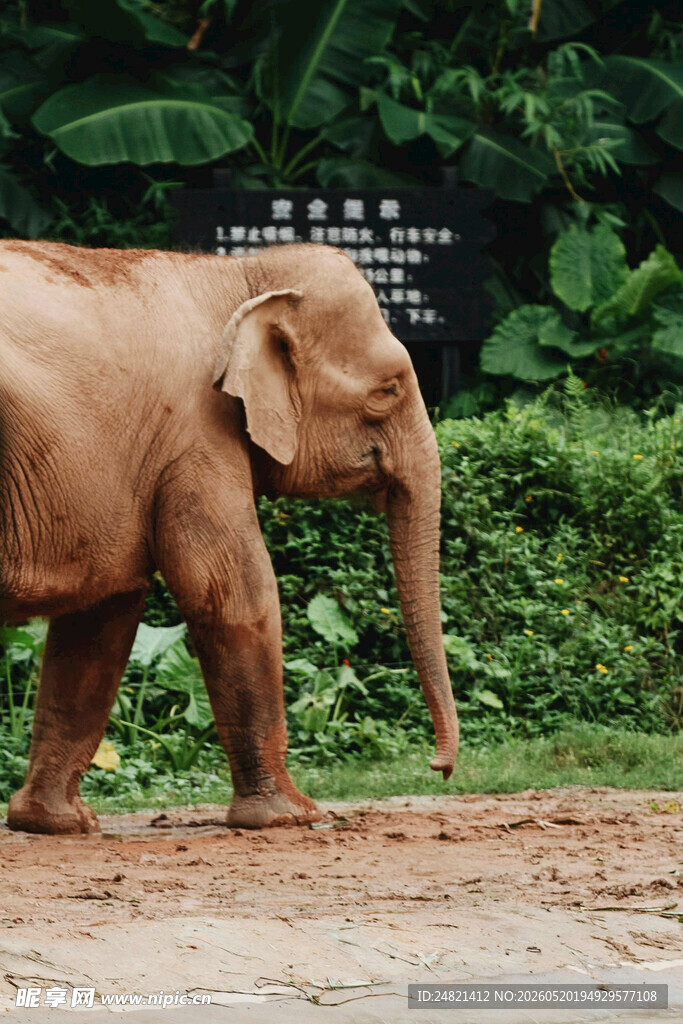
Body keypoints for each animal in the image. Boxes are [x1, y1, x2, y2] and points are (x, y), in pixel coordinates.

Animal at [0, 239, 458, 834]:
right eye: (388, 389)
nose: (439, 768)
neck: (239, 274)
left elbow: (101, 617)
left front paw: (56, 824)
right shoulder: (197, 436)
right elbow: (234, 592)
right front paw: (291, 816)